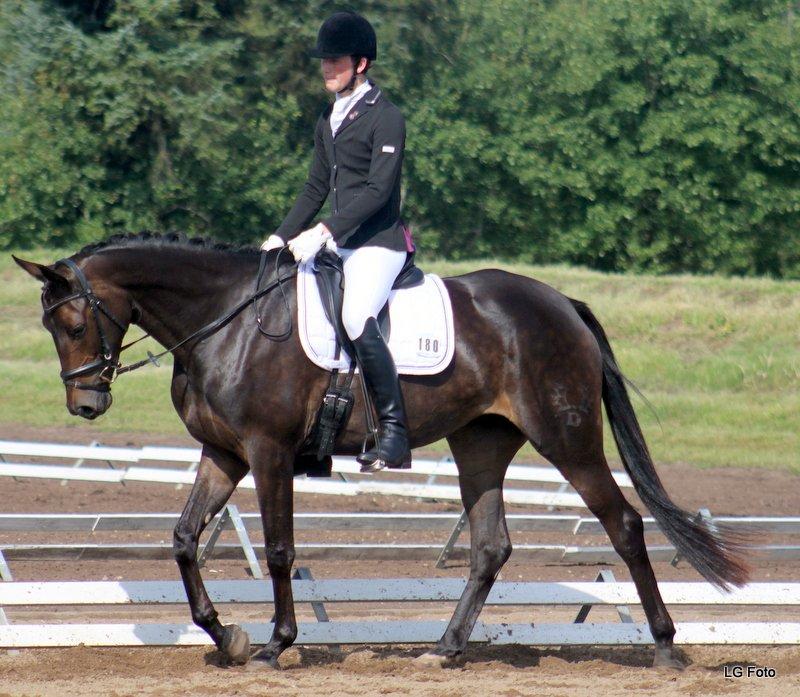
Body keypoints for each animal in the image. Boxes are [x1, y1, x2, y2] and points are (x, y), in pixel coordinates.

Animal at [12, 234, 752, 668]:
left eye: (73, 322)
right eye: (51, 326)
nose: (86, 406)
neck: (227, 319)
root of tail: (561, 303)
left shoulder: (268, 450)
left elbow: (277, 547)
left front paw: (277, 643)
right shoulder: (223, 453)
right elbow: (185, 538)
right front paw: (229, 637)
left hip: (566, 437)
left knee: (624, 524)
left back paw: (665, 647)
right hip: (480, 443)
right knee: (490, 546)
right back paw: (444, 649)